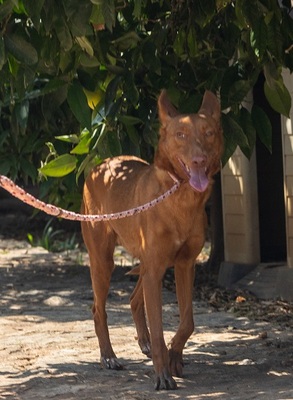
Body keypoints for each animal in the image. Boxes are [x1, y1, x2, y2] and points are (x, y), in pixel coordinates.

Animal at [80, 89, 221, 390]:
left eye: (209, 133)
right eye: (180, 134)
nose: (199, 161)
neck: (180, 199)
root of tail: (100, 165)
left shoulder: (184, 265)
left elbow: (187, 322)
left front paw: (174, 357)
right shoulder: (156, 268)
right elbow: (159, 330)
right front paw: (162, 373)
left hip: (150, 264)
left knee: (135, 299)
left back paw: (143, 345)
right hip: (104, 261)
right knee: (98, 308)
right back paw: (108, 356)